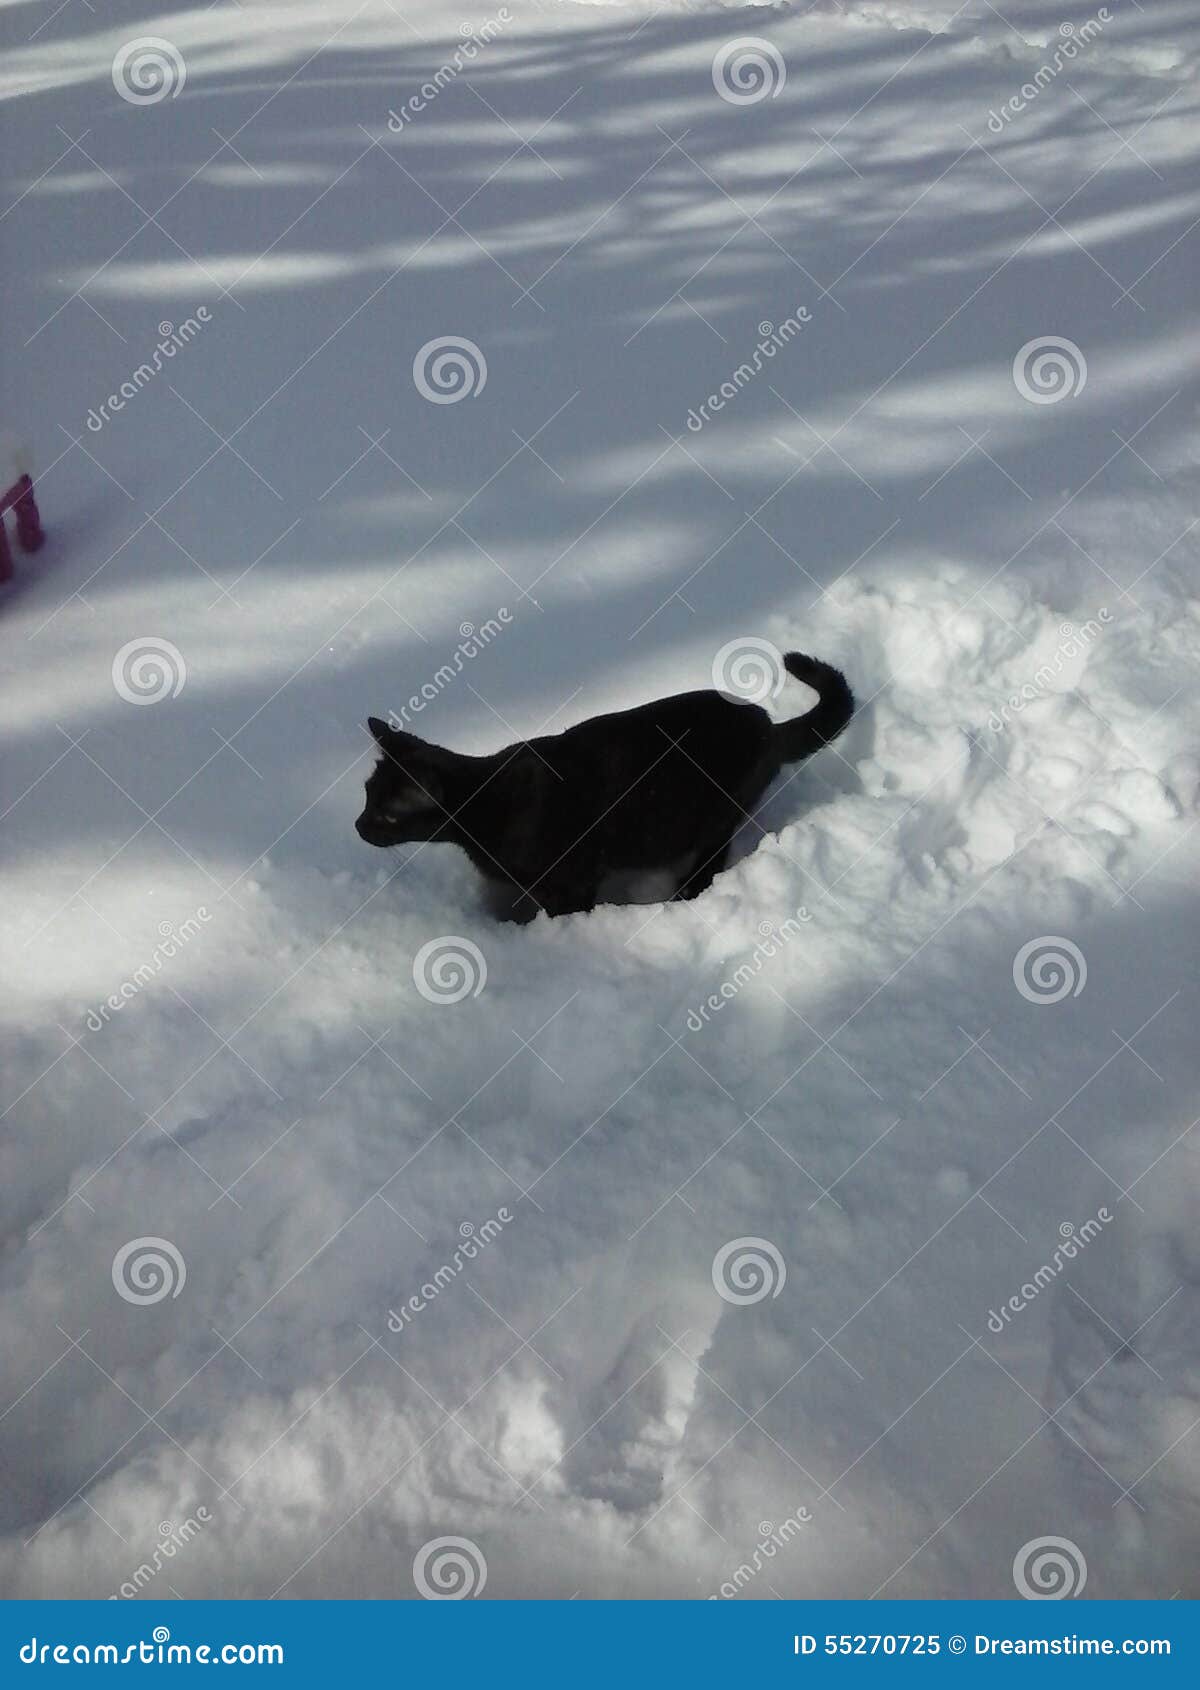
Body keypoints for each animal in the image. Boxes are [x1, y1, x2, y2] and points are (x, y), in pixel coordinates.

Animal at [356, 648, 855, 919]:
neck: (487, 809)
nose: (358, 827)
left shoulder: (574, 882)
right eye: (365, 798)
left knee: (710, 860)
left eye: (387, 813)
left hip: (710, 821)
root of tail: (766, 724)